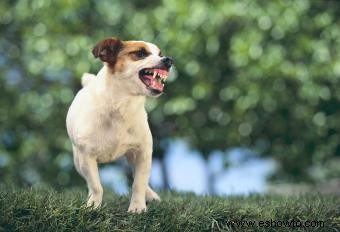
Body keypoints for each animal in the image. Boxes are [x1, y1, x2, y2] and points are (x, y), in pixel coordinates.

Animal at [66, 37, 173, 213]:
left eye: (160, 54)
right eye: (140, 53)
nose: (168, 60)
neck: (121, 106)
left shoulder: (143, 153)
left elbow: (139, 183)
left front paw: (137, 207)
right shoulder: (86, 157)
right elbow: (96, 186)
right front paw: (93, 205)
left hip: (132, 156)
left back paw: (150, 195)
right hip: (78, 161)